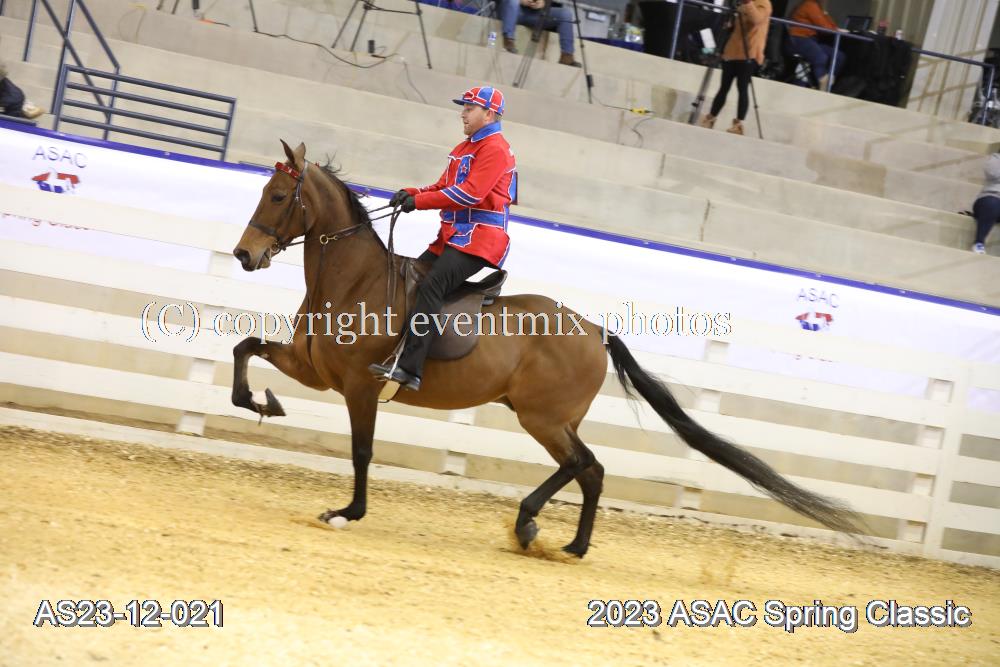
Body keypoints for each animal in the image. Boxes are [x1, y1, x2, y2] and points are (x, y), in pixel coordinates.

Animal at [230, 140, 863, 558]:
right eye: (262, 190)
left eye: (280, 195)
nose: (243, 255)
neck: (354, 281)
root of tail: (594, 330)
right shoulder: (313, 369)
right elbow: (246, 348)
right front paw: (264, 403)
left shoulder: (361, 386)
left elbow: (361, 452)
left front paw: (346, 513)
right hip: (550, 417)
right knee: (591, 471)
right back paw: (569, 544)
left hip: (543, 417)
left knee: (583, 465)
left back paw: (532, 526)